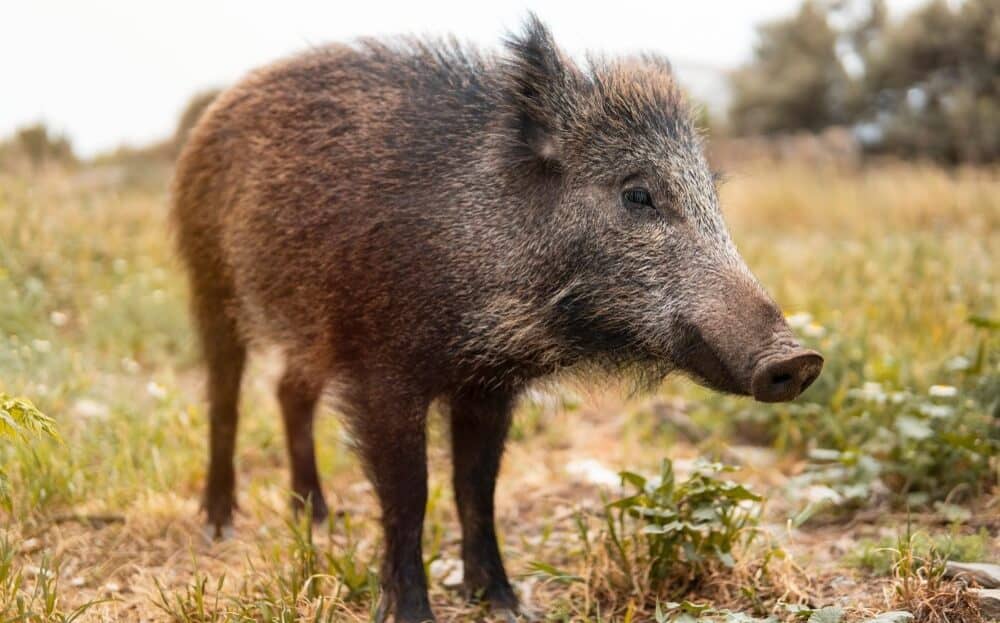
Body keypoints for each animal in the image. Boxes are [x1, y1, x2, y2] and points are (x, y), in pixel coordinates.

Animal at [172, 15, 823, 623]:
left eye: (713, 195)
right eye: (637, 194)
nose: (800, 360)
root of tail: (220, 108)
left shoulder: (488, 386)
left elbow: (477, 488)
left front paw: (505, 603)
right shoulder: (385, 373)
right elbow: (410, 496)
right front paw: (414, 612)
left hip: (308, 330)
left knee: (288, 391)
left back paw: (316, 518)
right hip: (209, 281)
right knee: (225, 399)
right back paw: (219, 523)